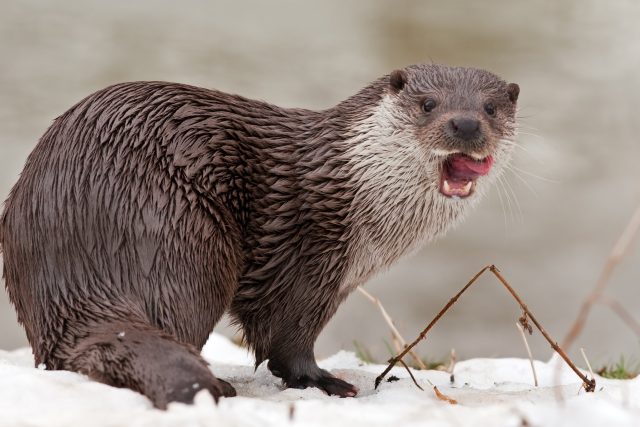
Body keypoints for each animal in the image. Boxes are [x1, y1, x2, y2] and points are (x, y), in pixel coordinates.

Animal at [0, 62, 520, 408]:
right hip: (181, 233)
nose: (466, 123)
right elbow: (287, 339)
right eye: (428, 104)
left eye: (491, 108)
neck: (353, 187)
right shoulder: (312, 259)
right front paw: (325, 381)